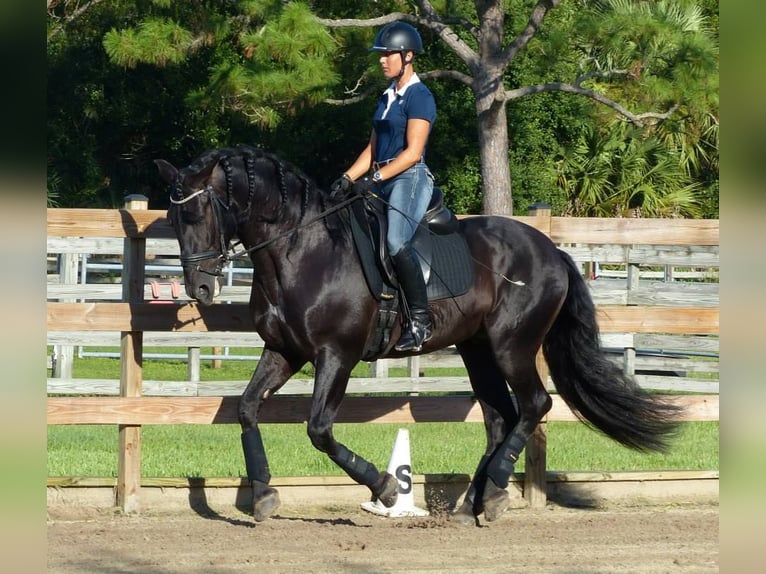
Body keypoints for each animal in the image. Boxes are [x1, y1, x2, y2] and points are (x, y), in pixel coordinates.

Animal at [155, 144, 680, 526]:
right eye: (175, 220)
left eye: (198, 215)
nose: (199, 288)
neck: (303, 249)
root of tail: (552, 251)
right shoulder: (283, 351)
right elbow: (247, 408)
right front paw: (264, 495)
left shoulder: (336, 355)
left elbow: (319, 430)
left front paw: (387, 488)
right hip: (477, 350)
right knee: (500, 417)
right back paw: (476, 503)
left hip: (512, 347)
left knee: (534, 405)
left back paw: (494, 491)